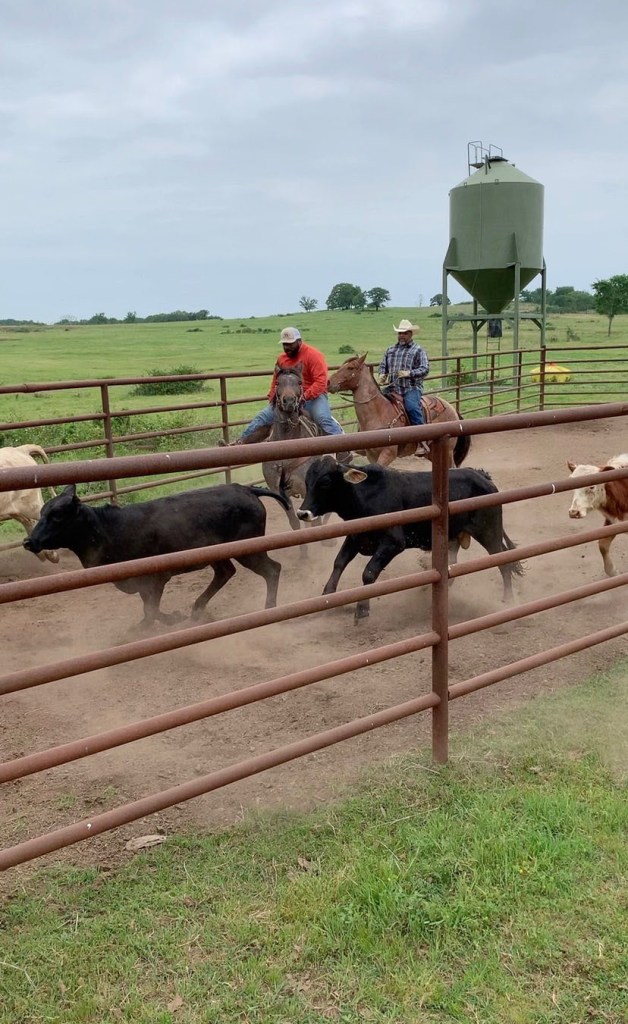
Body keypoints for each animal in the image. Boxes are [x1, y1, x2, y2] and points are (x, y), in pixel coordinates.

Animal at [24, 483, 291, 627]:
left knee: (272, 569)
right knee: (226, 572)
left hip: (249, 549)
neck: (109, 529)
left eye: (57, 515)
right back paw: (197, 609)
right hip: (219, 555)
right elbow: (148, 608)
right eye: (42, 512)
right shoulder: (142, 583)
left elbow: (150, 610)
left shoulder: (156, 578)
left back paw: (269, 607)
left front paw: (163, 620)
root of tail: (246, 489)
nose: (29, 541)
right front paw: (168, 618)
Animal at [296, 456, 523, 619]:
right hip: (453, 538)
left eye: (325, 482)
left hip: (489, 532)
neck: (366, 495)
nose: (302, 513)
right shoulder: (355, 537)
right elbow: (339, 562)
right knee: (451, 566)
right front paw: (327, 596)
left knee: (504, 563)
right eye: (307, 481)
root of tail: (482, 476)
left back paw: (507, 600)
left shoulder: (393, 543)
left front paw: (362, 609)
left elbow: (369, 572)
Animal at [327, 352, 470, 468]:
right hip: (433, 451)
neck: (378, 413)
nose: (328, 382)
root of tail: (452, 408)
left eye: (350, 368)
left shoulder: (388, 454)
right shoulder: (371, 455)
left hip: (448, 450)